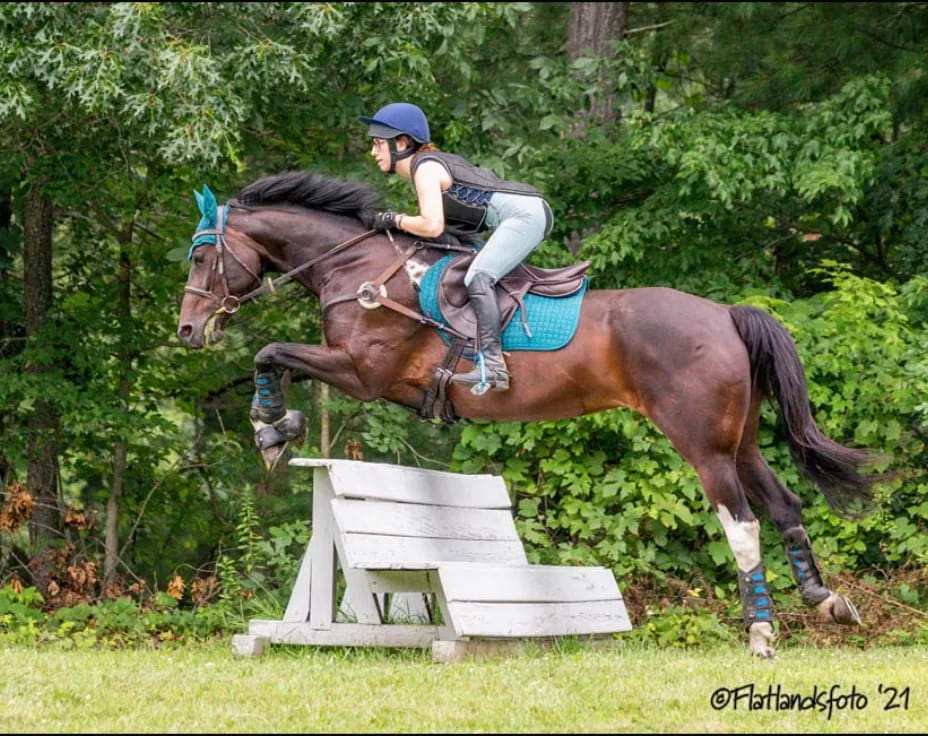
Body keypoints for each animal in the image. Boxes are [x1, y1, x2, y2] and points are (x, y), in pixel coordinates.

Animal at [176, 171, 881, 658]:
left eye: (200, 256)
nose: (187, 330)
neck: (362, 267)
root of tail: (727, 314)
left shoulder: (362, 373)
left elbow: (271, 352)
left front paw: (272, 429)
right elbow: (278, 356)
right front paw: (278, 427)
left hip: (703, 446)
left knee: (741, 525)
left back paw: (760, 632)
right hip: (741, 441)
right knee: (785, 505)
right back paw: (827, 601)